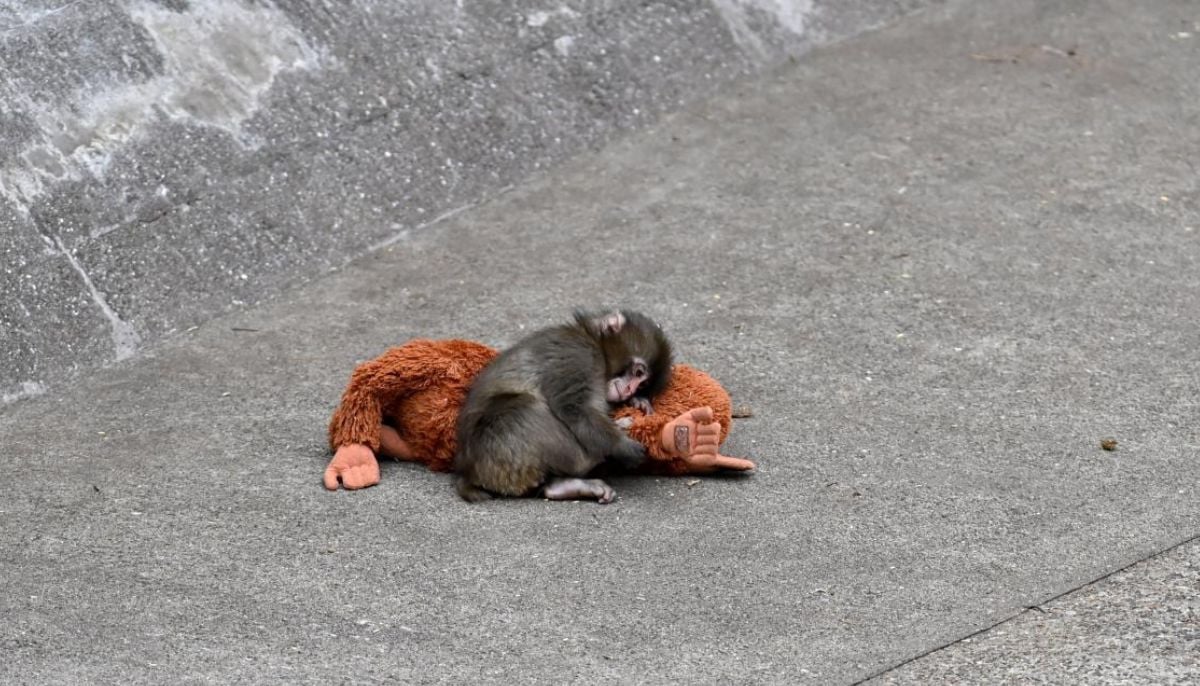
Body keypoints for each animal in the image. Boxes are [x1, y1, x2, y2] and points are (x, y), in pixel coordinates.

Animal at [453, 308, 673, 504]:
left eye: (642, 384)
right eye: (638, 373)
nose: (629, 390)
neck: (593, 341)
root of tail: (469, 472)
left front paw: (638, 402)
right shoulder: (578, 355)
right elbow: (573, 407)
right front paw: (621, 446)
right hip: (497, 449)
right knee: (524, 407)